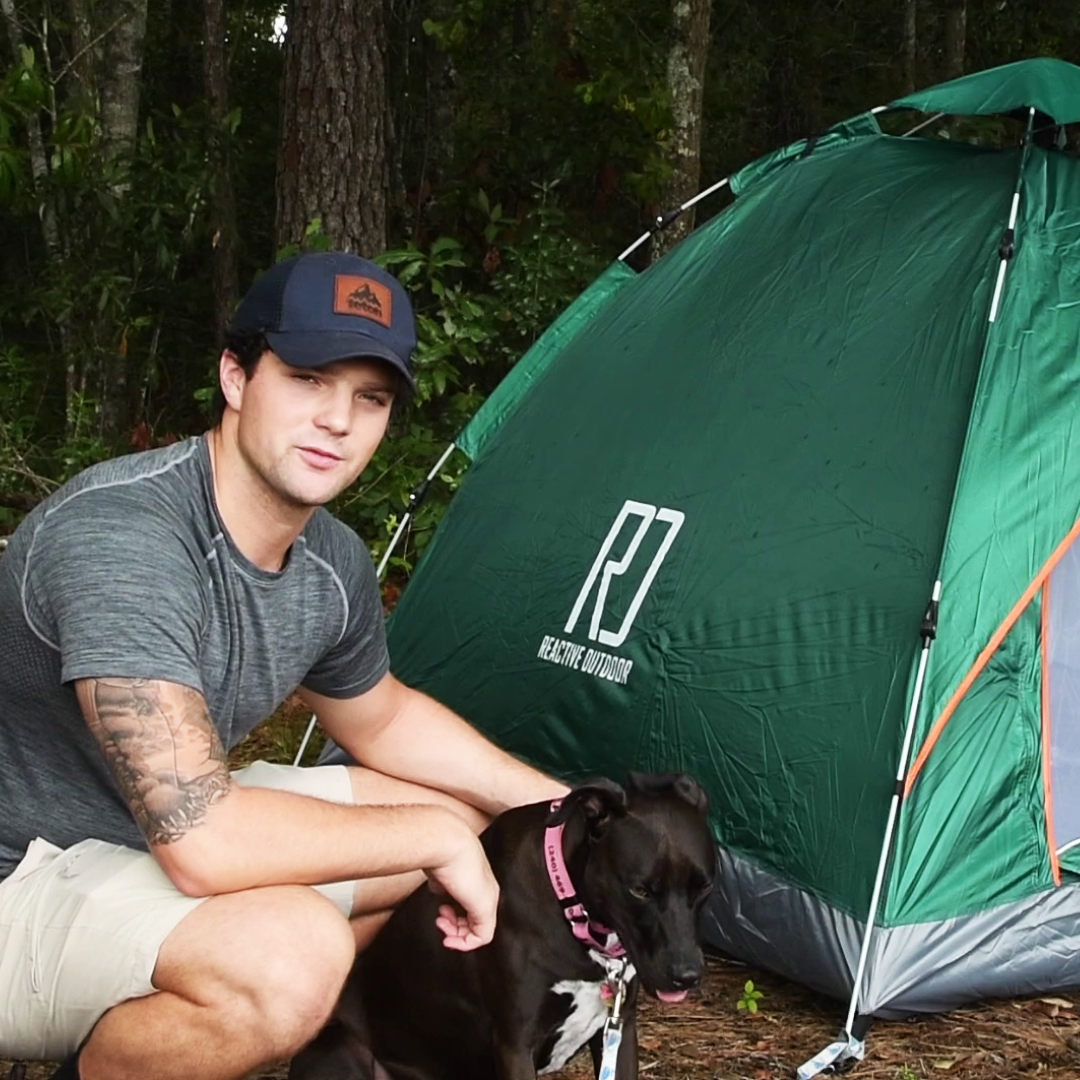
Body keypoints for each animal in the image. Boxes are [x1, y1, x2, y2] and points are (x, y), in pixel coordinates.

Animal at [291, 773, 721, 1080]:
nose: (687, 976)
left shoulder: (619, 1030)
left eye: (705, 887)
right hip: (338, 1047)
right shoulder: (516, 1043)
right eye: (640, 890)